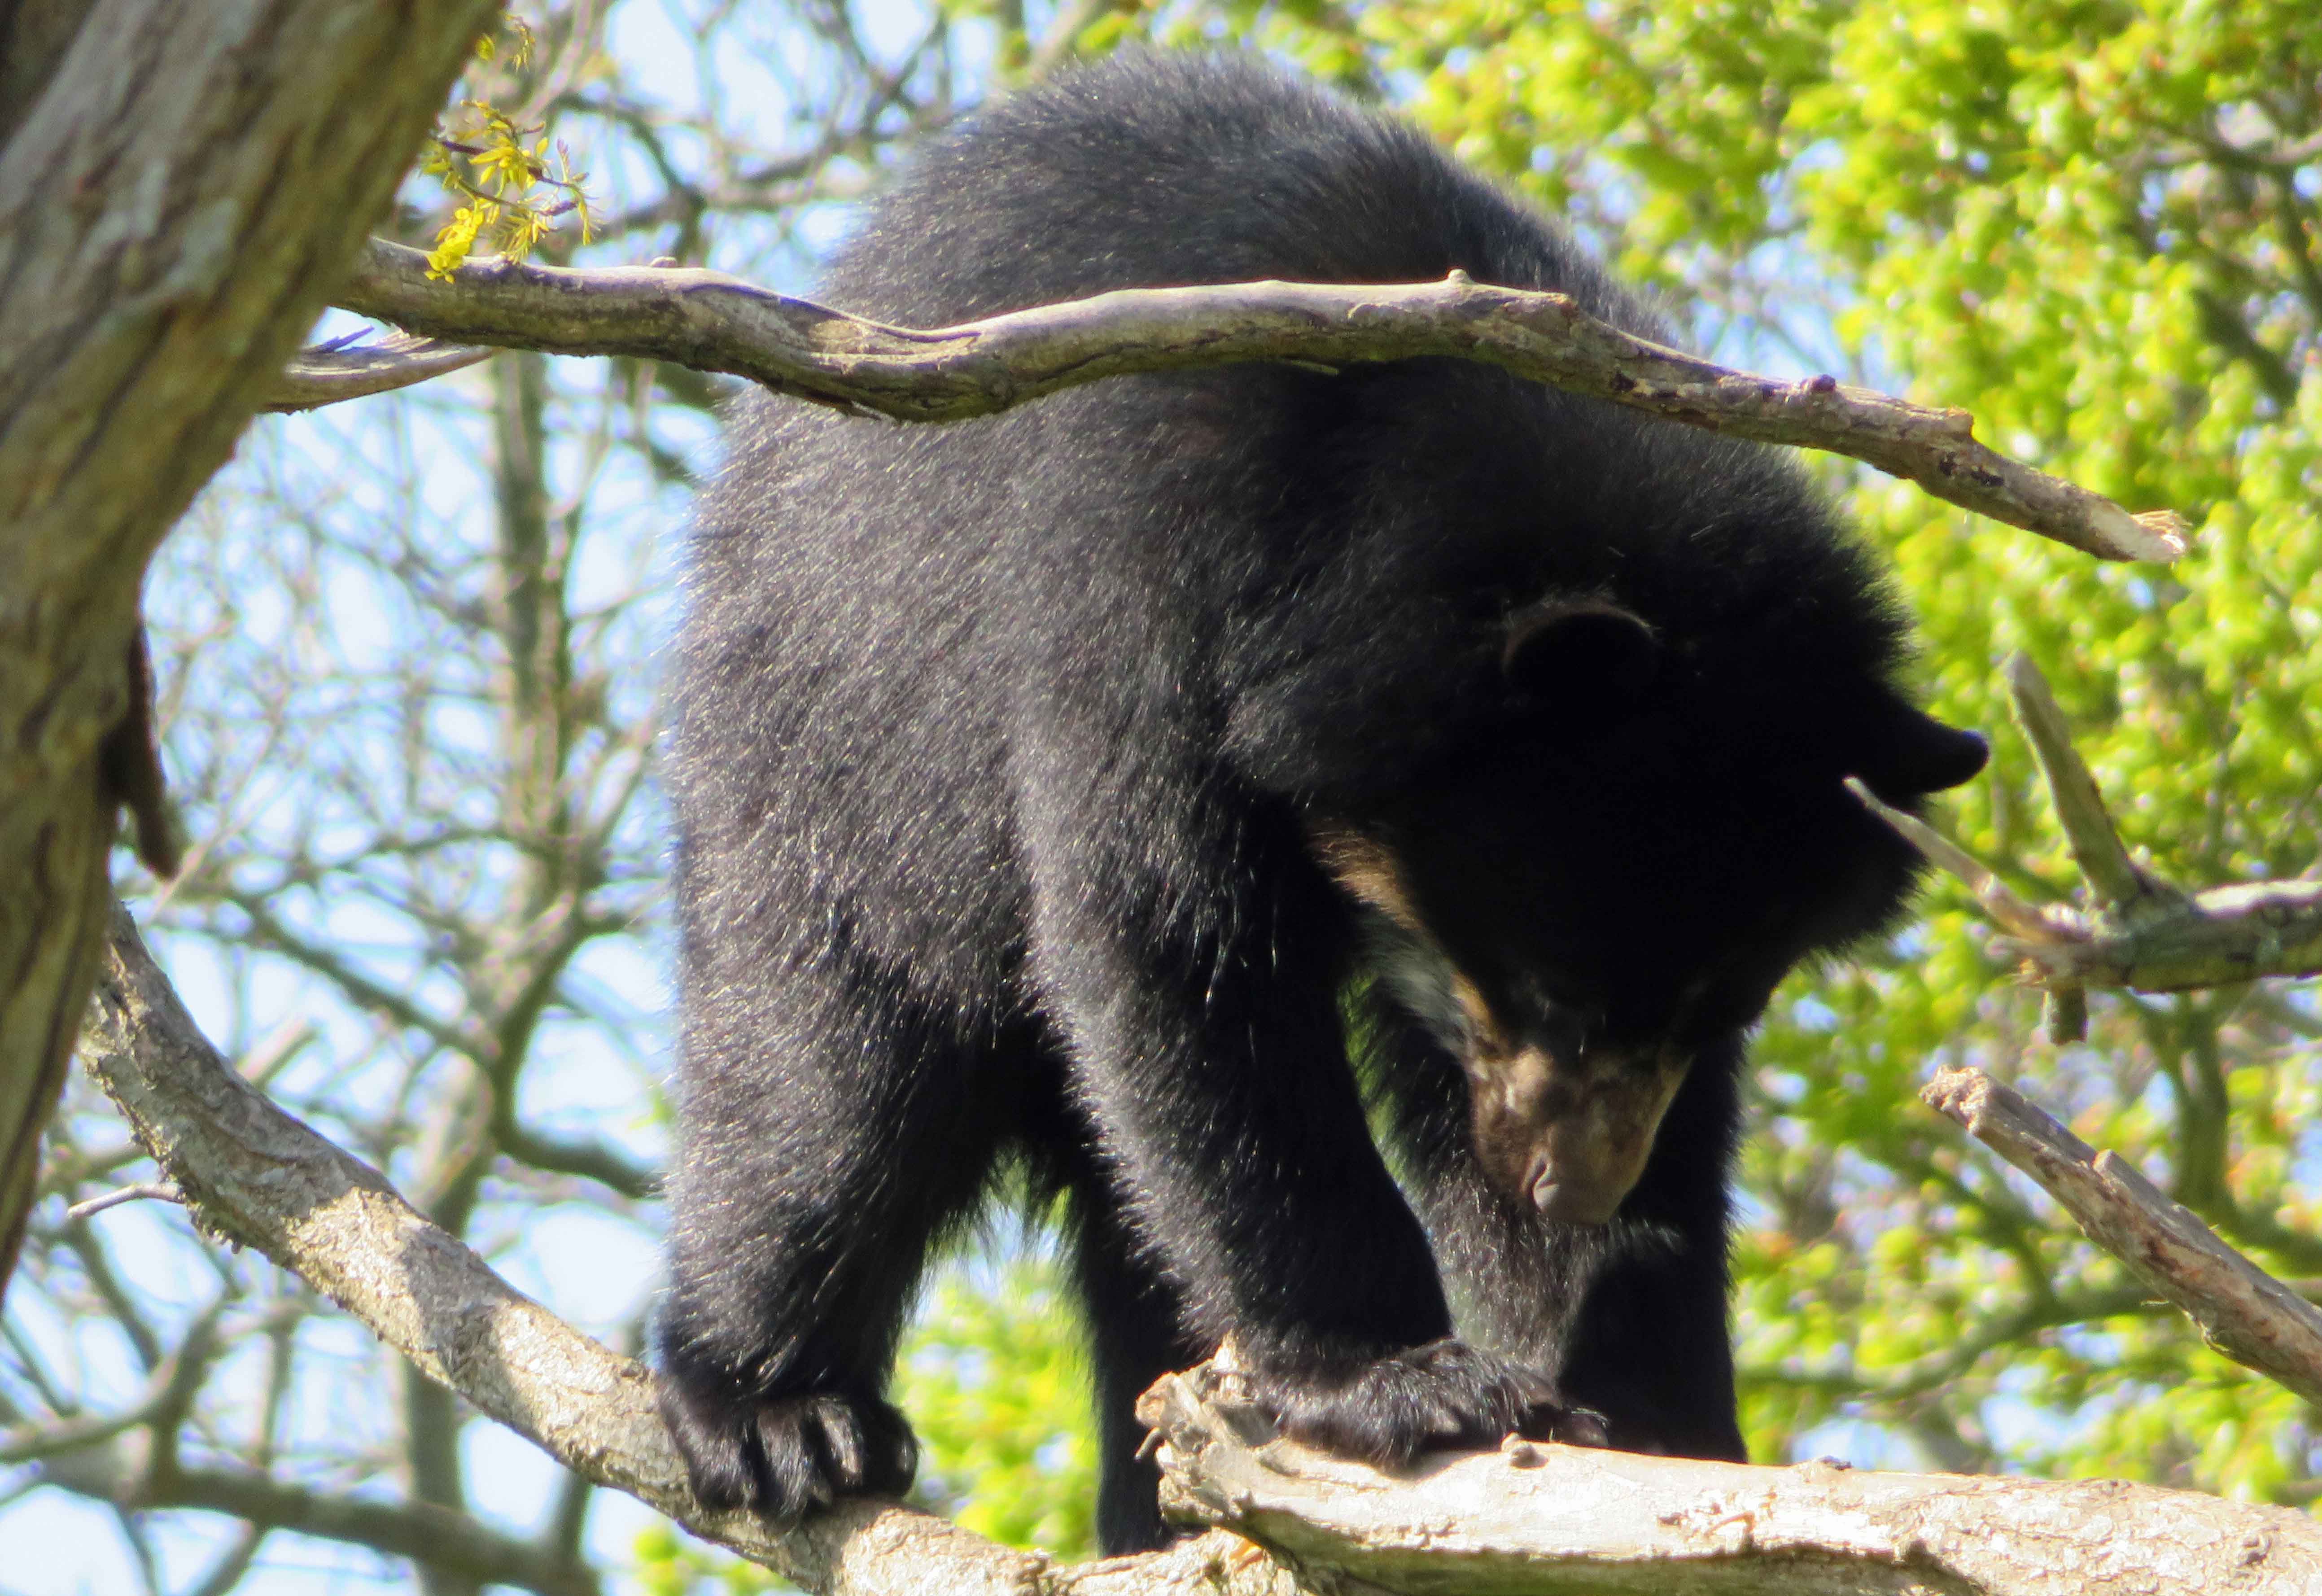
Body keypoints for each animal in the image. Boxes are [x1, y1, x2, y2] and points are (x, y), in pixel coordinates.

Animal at [650, 53, 1978, 1561]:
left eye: (1718, 1007)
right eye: (1554, 989)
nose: (1564, 1186)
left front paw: (1643, 1414)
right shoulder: (1143, 582)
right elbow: (1175, 949)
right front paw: (1404, 1379)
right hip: (828, 750)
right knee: (827, 1076)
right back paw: (778, 1416)